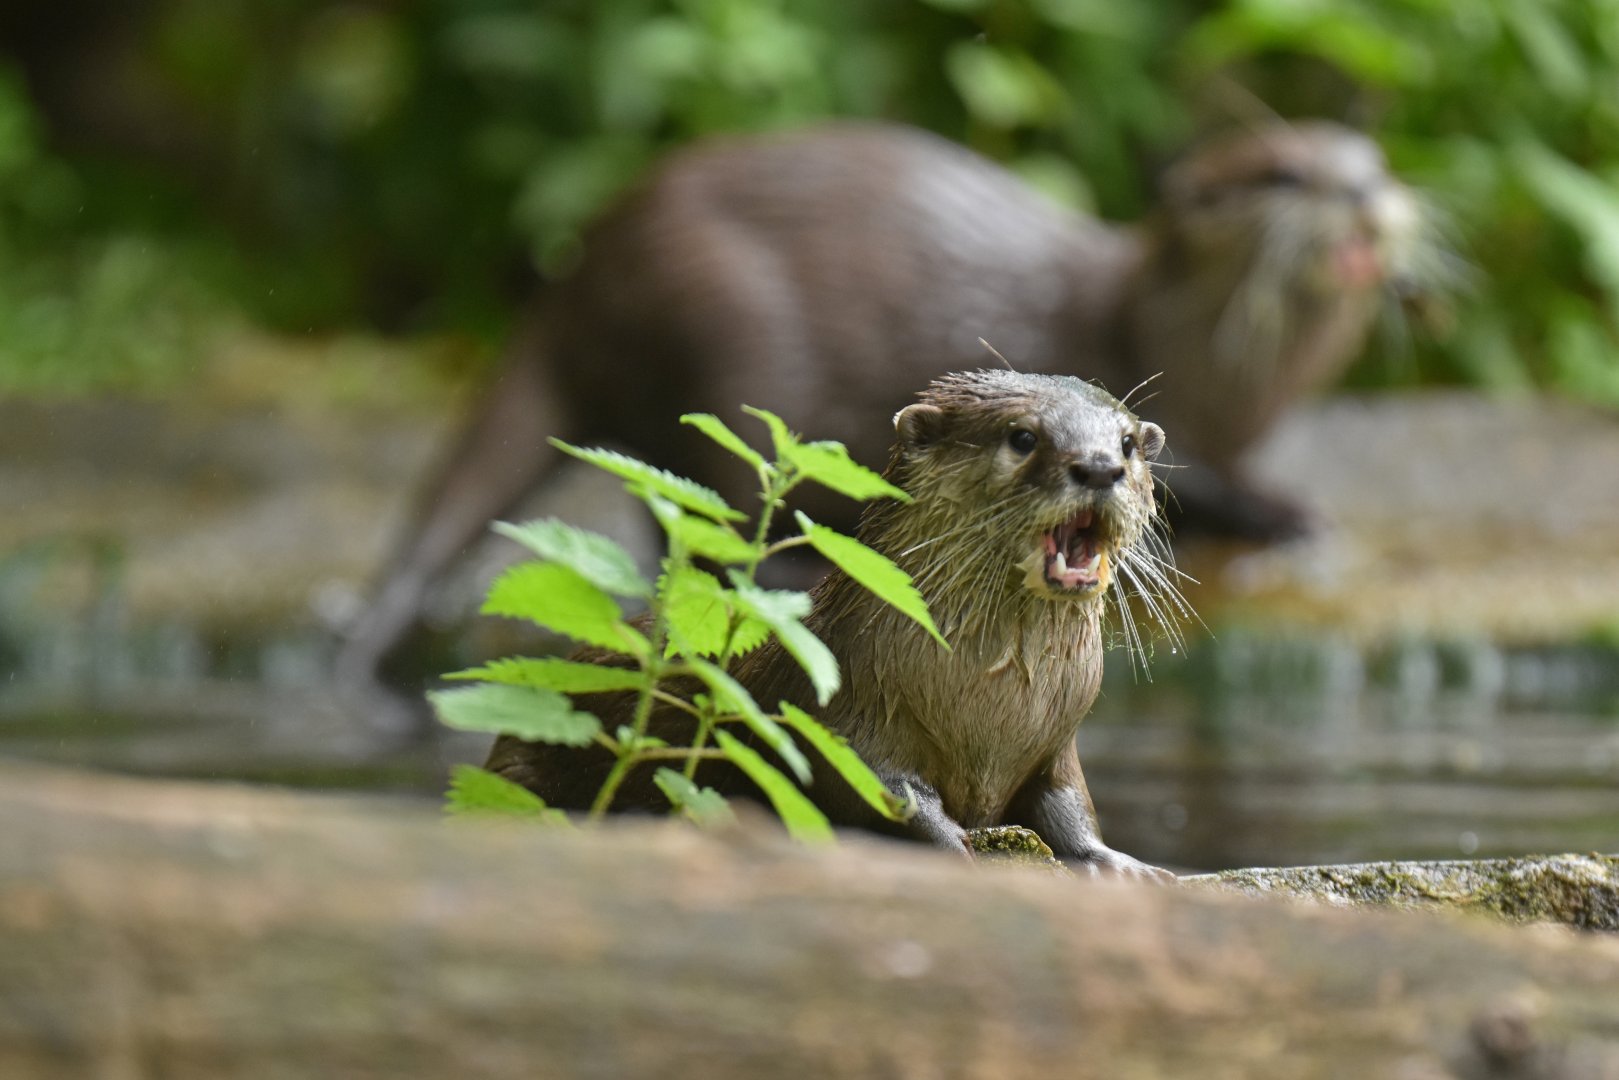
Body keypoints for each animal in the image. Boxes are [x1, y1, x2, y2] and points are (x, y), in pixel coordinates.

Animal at [340, 120, 1421, 690]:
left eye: (1370, 162)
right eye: (1283, 175)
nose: (1363, 195)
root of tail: (581, 276)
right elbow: (1213, 485)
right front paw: (1291, 517)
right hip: (723, 339)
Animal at [486, 370, 1180, 876]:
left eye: (1124, 444)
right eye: (1023, 437)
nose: (1099, 467)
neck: (993, 707)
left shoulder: (1057, 735)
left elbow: (1069, 803)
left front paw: (1117, 863)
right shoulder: (847, 710)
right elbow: (885, 792)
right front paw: (962, 848)